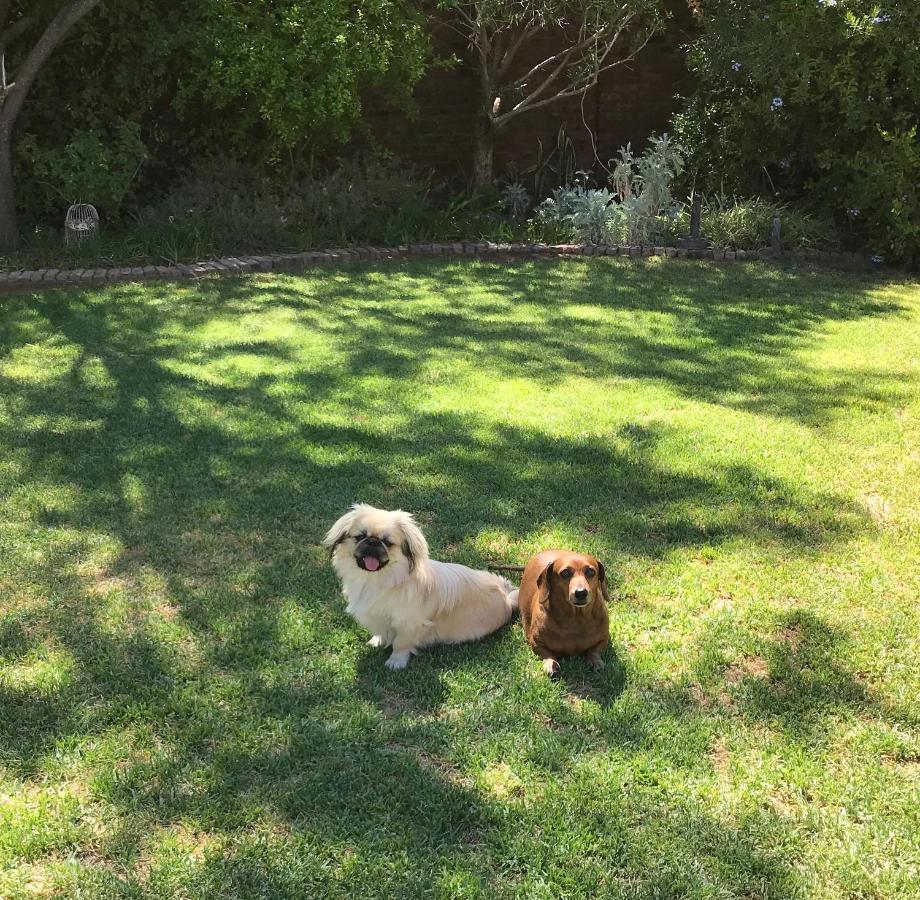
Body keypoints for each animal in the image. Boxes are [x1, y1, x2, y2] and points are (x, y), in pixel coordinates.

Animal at [322, 506, 516, 668]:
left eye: (387, 542)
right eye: (360, 537)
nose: (372, 542)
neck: (377, 579)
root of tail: (506, 598)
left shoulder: (408, 623)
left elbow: (401, 643)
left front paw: (396, 662)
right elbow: (381, 631)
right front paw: (377, 641)